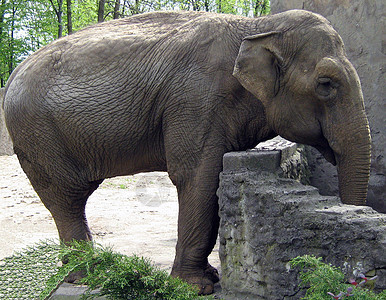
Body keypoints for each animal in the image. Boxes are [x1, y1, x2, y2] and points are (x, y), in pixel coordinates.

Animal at [3, 9, 370, 296]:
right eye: (326, 84)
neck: (256, 26)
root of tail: (14, 73)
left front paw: (209, 277)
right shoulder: (196, 100)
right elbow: (198, 176)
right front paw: (196, 287)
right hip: (37, 135)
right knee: (65, 198)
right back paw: (87, 274)